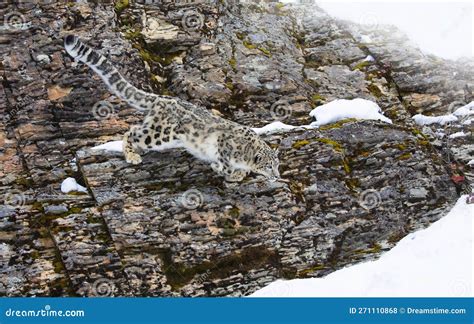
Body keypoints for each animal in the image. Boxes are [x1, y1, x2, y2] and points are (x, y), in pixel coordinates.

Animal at [64, 36, 280, 182]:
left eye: (277, 165)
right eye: (269, 166)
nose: (277, 175)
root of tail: (163, 98)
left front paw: (240, 171)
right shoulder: (223, 146)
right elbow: (224, 165)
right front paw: (229, 171)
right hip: (162, 134)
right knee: (132, 131)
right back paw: (133, 156)